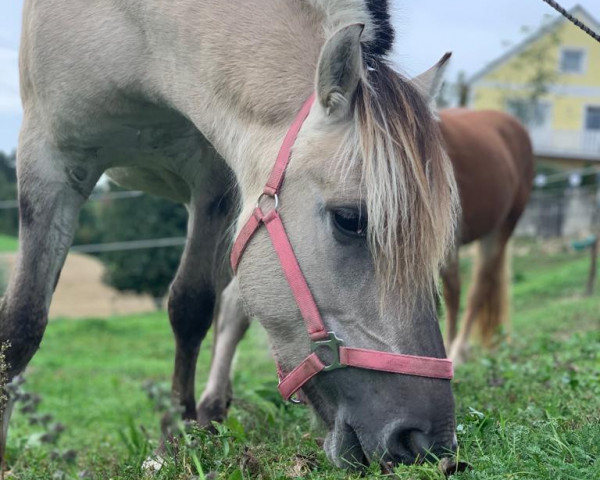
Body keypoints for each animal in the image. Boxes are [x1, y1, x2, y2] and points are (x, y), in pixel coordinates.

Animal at [1, 0, 460, 466]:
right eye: (349, 219)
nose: (425, 442)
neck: (142, 37)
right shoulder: (48, 159)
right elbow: (21, 324)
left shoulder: (215, 182)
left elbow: (192, 308)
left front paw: (174, 438)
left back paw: (211, 408)